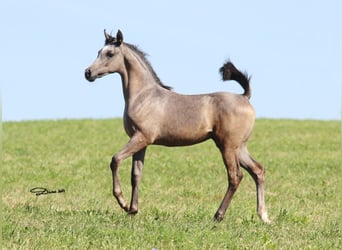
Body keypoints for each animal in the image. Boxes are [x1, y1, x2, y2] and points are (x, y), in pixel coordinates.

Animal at [85, 29, 270, 223]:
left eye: (110, 54)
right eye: (99, 51)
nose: (88, 73)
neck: (144, 96)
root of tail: (244, 97)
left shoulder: (141, 138)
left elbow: (115, 160)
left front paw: (123, 203)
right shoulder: (141, 143)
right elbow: (136, 175)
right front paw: (132, 210)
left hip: (228, 146)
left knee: (235, 176)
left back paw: (218, 215)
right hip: (238, 147)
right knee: (258, 170)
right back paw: (263, 215)